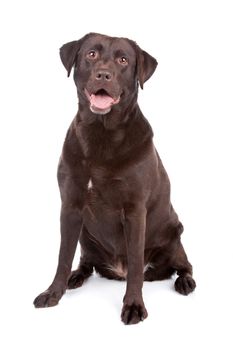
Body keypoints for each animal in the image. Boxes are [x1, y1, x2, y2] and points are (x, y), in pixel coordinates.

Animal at [33, 33, 196, 326]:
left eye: (123, 60)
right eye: (91, 54)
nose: (103, 75)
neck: (102, 134)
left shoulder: (135, 211)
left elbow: (136, 266)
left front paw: (133, 305)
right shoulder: (70, 206)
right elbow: (63, 256)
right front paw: (54, 292)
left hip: (174, 233)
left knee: (184, 266)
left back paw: (185, 282)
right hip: (86, 235)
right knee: (85, 262)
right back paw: (77, 276)